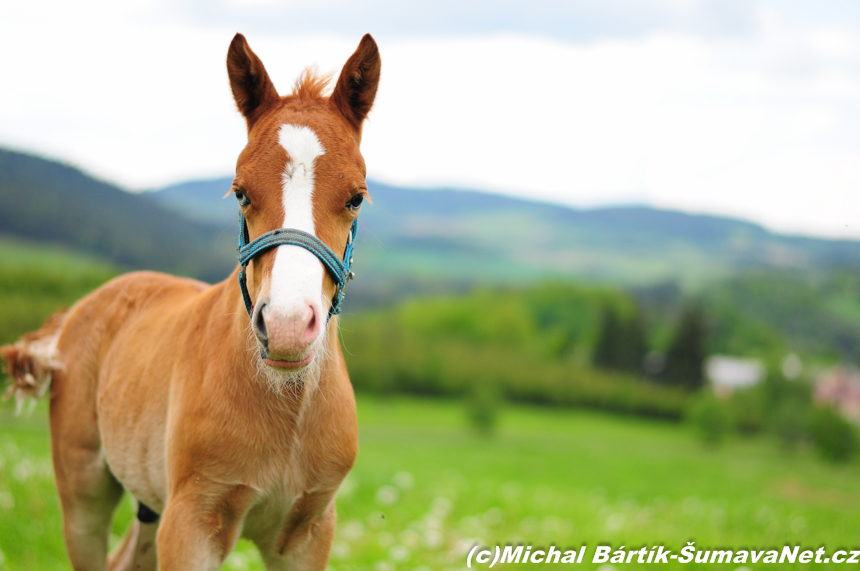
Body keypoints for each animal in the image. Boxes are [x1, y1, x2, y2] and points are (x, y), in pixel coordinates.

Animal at [0, 33, 382, 568]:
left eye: (356, 198)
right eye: (240, 193)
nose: (286, 326)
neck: (287, 409)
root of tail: (79, 310)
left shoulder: (308, 532)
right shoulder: (192, 521)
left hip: (149, 502)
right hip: (84, 493)